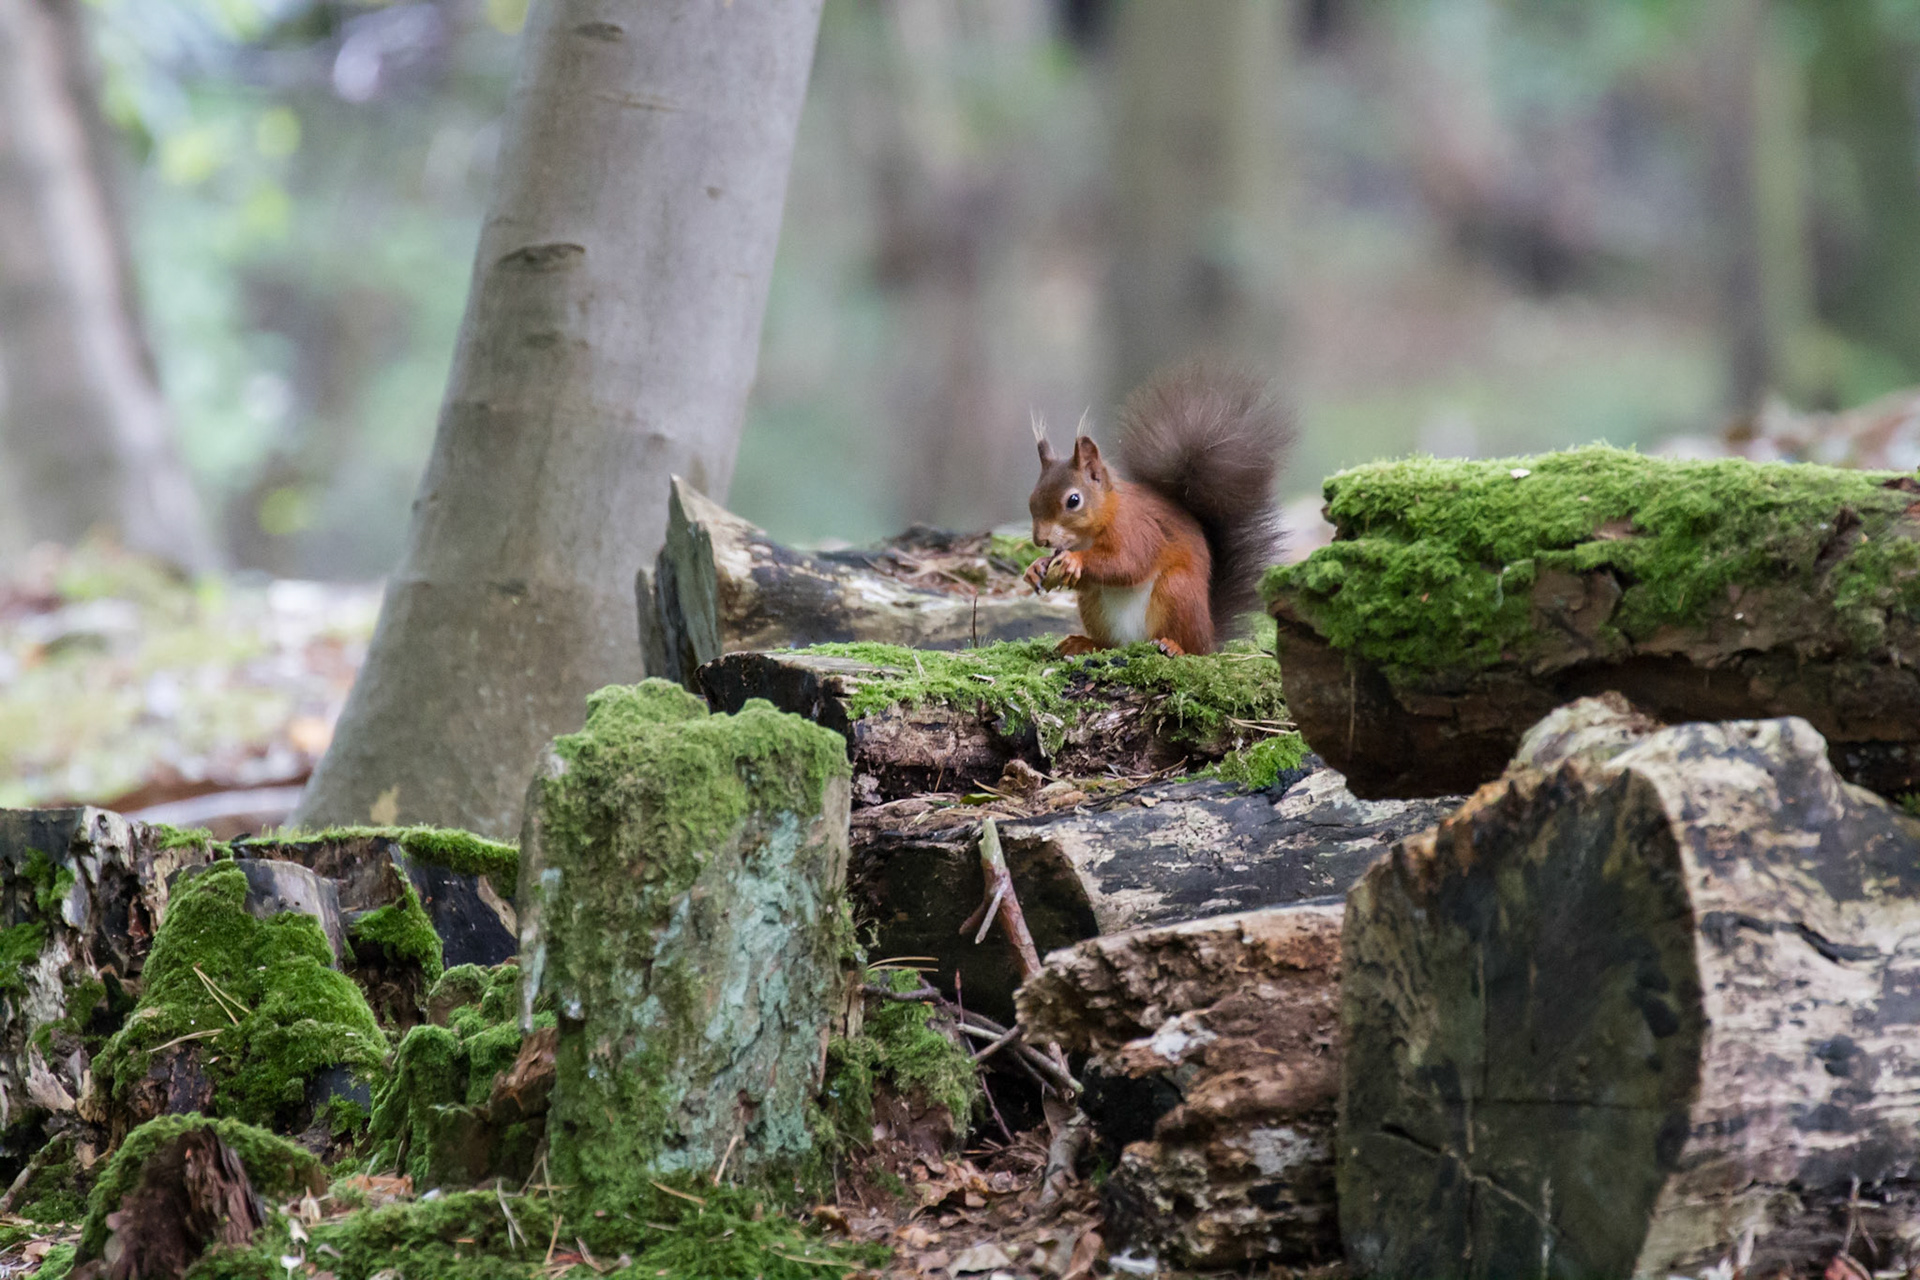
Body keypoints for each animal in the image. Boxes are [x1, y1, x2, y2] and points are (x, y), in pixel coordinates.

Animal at [1023, 364, 1292, 656]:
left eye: (1073, 500)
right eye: (1031, 498)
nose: (1041, 540)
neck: (1091, 533)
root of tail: (1210, 636)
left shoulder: (1137, 528)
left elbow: (1128, 563)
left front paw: (1075, 560)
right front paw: (1037, 567)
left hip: (1177, 590)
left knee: (1190, 645)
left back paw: (1173, 647)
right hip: (1094, 605)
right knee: (1109, 643)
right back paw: (1083, 643)